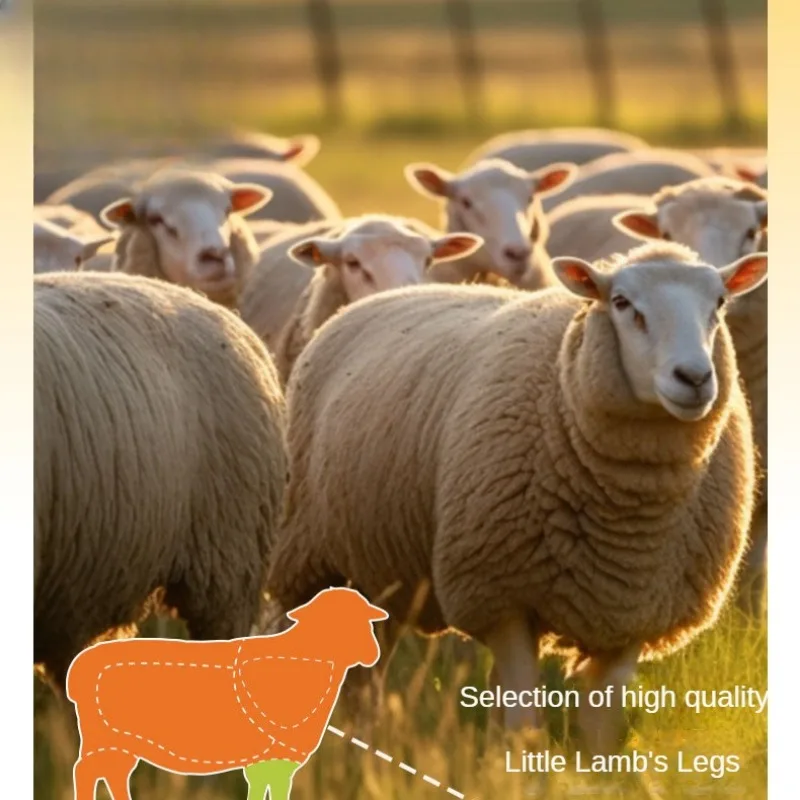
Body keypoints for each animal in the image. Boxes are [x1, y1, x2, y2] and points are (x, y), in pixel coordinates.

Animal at [266, 242, 766, 755]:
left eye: (719, 303)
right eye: (622, 303)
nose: (694, 377)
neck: (630, 515)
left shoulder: (634, 612)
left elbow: (601, 733)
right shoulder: (502, 595)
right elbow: (526, 721)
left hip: (379, 573)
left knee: (372, 671)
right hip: (307, 554)